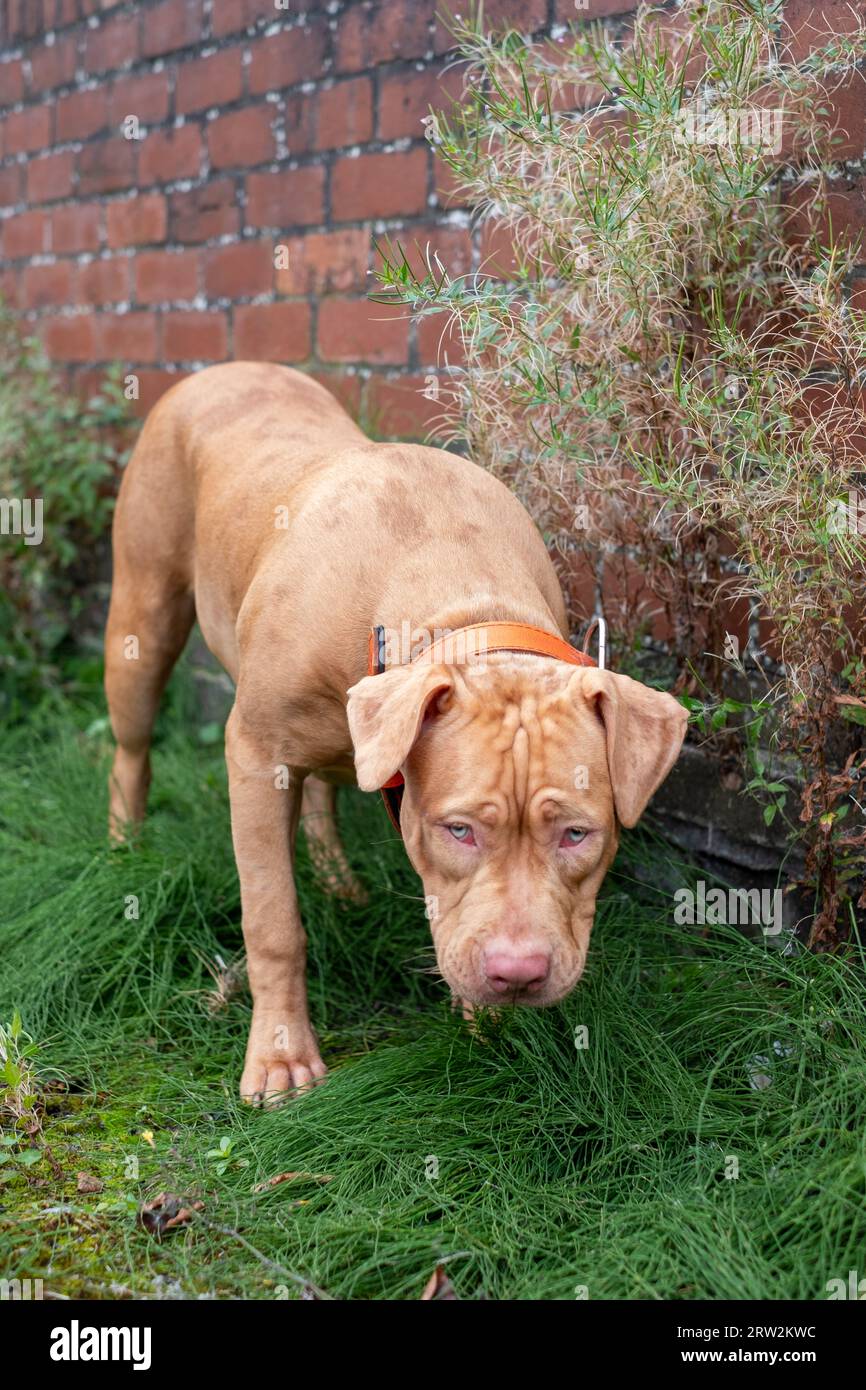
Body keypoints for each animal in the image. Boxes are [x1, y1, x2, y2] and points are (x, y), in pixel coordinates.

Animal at [107, 364, 692, 1100]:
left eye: (577, 834)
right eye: (459, 830)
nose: (518, 975)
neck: (460, 602)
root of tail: (226, 369)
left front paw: (487, 1027)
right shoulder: (257, 756)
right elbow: (274, 922)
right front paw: (281, 1058)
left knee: (322, 789)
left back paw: (340, 883)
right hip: (141, 626)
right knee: (131, 751)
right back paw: (123, 847)